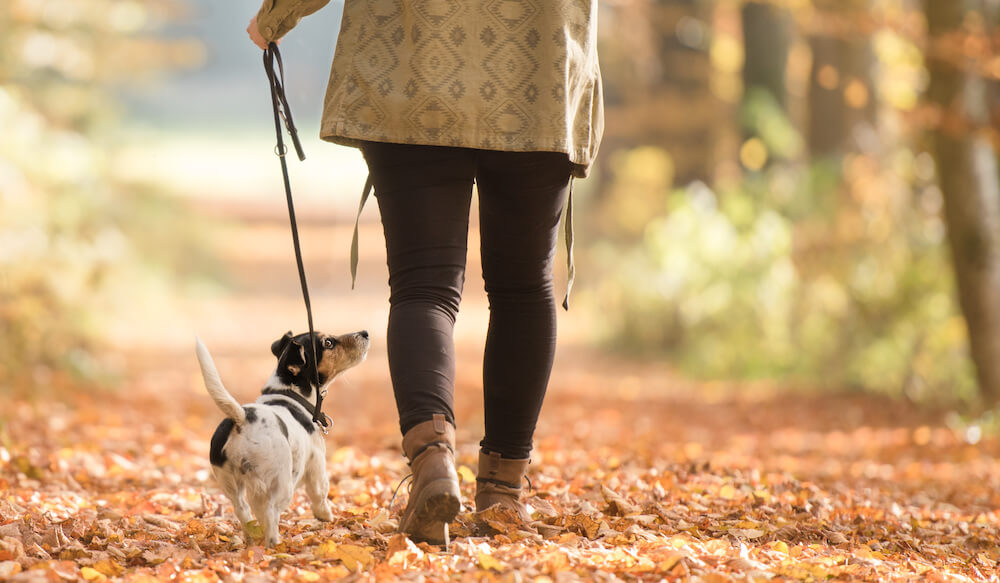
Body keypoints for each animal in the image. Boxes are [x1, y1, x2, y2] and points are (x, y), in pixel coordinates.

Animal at [193, 330, 370, 548]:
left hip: (232, 484)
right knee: (271, 512)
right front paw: (325, 516)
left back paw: (252, 540)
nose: (365, 333)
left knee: (243, 510)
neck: (291, 395)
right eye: (328, 343)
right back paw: (274, 543)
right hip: (283, 484)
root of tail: (243, 417)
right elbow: (320, 494)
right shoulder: (317, 466)